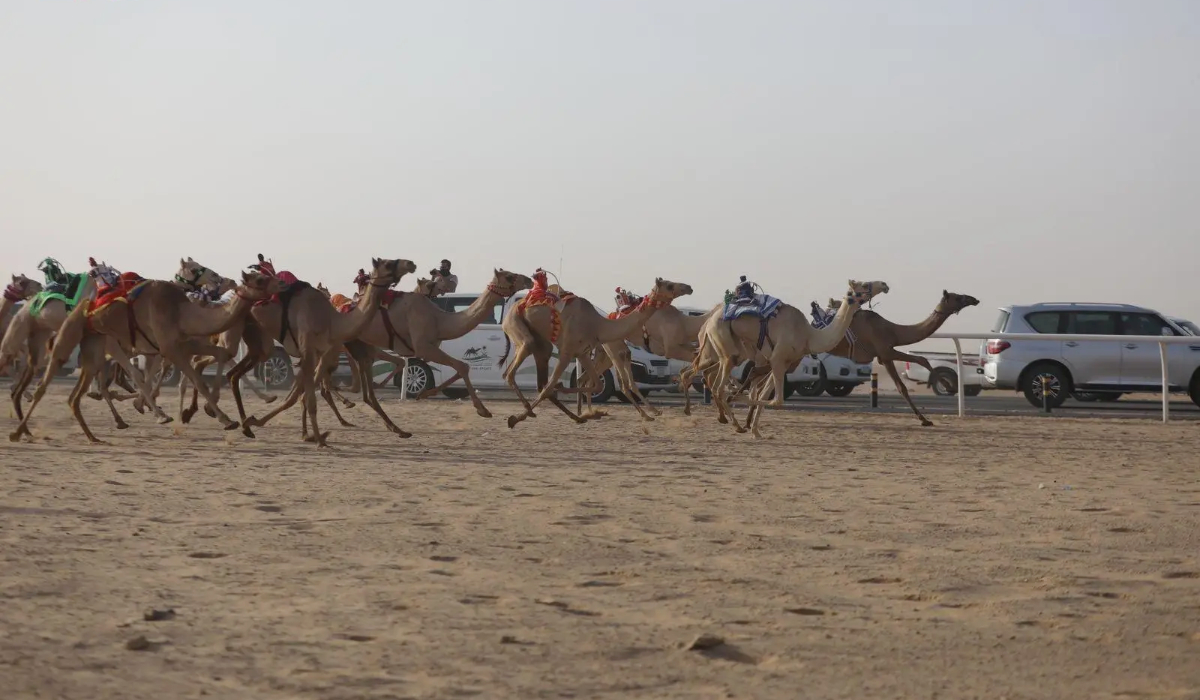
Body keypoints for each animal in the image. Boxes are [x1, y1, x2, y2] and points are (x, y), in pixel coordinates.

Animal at [11, 266, 283, 443]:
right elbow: (194, 378)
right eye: (260, 279)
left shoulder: (181, 344)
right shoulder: (169, 347)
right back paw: (19, 431)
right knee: (48, 379)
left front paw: (204, 410)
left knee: (88, 383)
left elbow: (219, 356)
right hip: (78, 337)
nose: (281, 283)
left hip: (97, 344)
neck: (182, 312)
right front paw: (225, 419)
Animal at [228, 257, 415, 446]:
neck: (332, 320)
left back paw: (244, 422)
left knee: (234, 374)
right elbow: (307, 398)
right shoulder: (310, 350)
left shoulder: (321, 353)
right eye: (388, 264)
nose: (410, 264)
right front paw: (318, 439)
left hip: (258, 340)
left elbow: (298, 396)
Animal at [503, 275, 693, 429]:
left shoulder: (582, 352)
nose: (689, 287)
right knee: (513, 372)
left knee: (529, 373)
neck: (598, 325)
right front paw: (514, 419)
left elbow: (596, 384)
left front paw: (590, 411)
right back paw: (527, 413)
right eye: (669, 285)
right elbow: (549, 387)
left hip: (542, 343)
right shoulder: (567, 350)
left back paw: (575, 416)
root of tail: (515, 305)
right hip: (517, 325)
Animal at [689, 279, 889, 437]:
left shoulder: (782, 362)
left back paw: (732, 420)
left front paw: (756, 430)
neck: (809, 336)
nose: (884, 284)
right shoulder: (778, 358)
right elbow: (776, 400)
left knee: (714, 380)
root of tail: (708, 320)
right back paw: (735, 421)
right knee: (719, 385)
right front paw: (739, 403)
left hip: (732, 347)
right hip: (723, 339)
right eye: (864, 284)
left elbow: (765, 394)